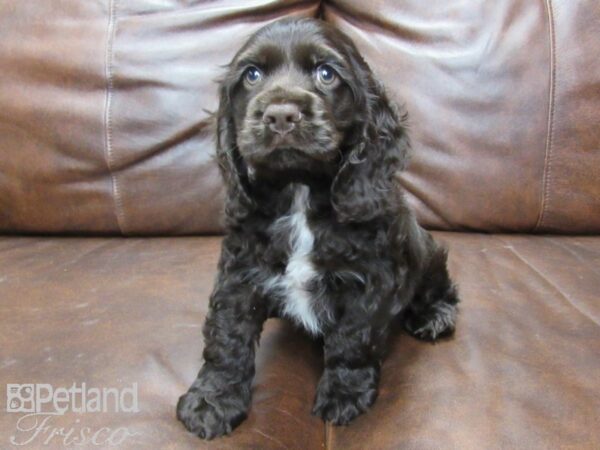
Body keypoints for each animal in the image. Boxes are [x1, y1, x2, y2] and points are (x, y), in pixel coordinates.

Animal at [178, 17, 460, 440]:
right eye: (252, 75)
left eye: (326, 74)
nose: (280, 115)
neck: (299, 190)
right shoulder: (239, 275)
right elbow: (226, 337)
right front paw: (212, 401)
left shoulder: (369, 281)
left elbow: (352, 341)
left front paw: (344, 395)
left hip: (425, 253)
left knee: (438, 284)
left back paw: (435, 315)